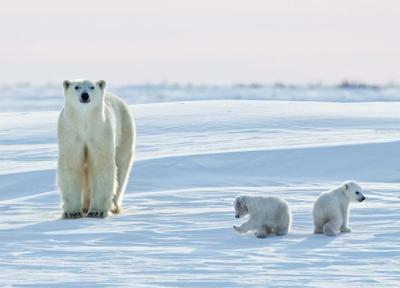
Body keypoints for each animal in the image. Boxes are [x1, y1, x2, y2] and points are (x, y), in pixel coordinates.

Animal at [57, 79, 136, 218]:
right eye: (76, 87)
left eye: (91, 87)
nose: (85, 95)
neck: (85, 123)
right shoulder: (70, 133)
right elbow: (71, 165)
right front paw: (72, 212)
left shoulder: (100, 131)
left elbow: (101, 165)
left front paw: (97, 211)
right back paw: (84, 206)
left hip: (125, 132)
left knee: (121, 169)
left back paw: (114, 206)